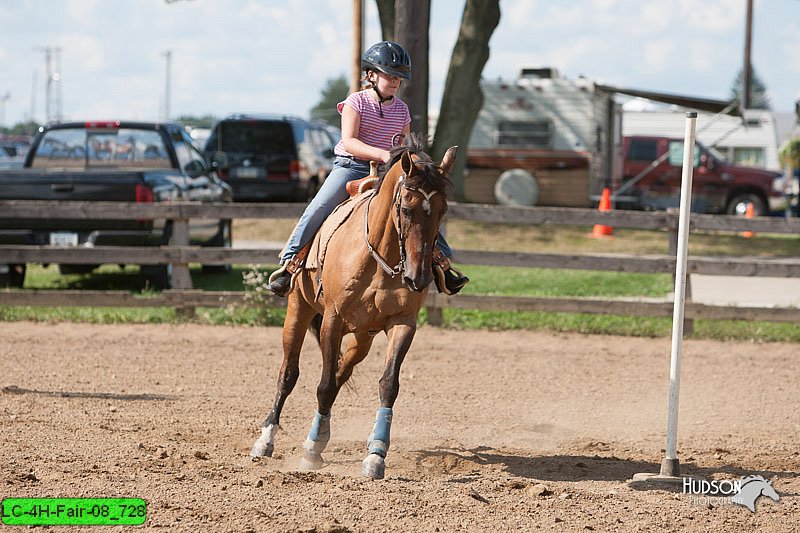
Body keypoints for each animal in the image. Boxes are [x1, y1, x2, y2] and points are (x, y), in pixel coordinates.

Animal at [253, 134, 460, 478]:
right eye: (406, 209)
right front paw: (310, 451)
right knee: (289, 374)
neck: (381, 257)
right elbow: (323, 386)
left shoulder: (404, 323)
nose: (417, 278)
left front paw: (376, 454)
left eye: (443, 211)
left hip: (363, 337)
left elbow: (388, 384)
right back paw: (265, 441)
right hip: (298, 310)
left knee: (340, 372)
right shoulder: (332, 320)